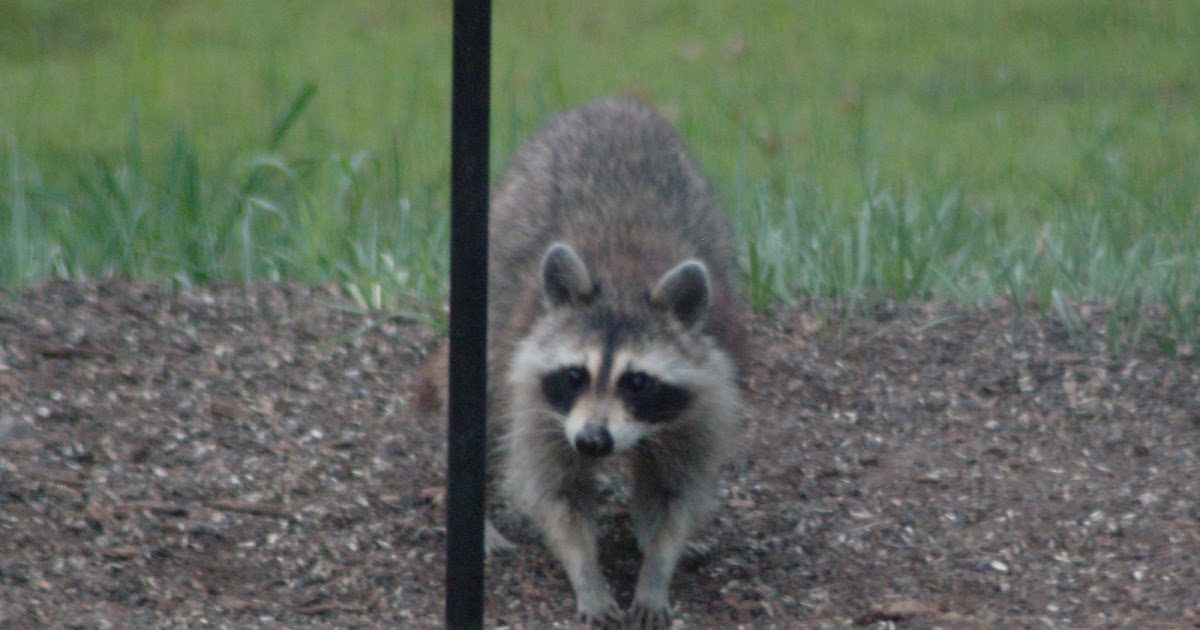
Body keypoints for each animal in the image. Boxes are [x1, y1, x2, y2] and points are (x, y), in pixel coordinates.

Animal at [488, 97, 748, 628]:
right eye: (575, 375)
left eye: (637, 382)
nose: (592, 442)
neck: (627, 283)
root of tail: (615, 103)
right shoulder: (535, 395)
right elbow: (558, 493)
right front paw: (586, 574)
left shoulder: (707, 398)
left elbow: (675, 492)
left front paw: (658, 566)